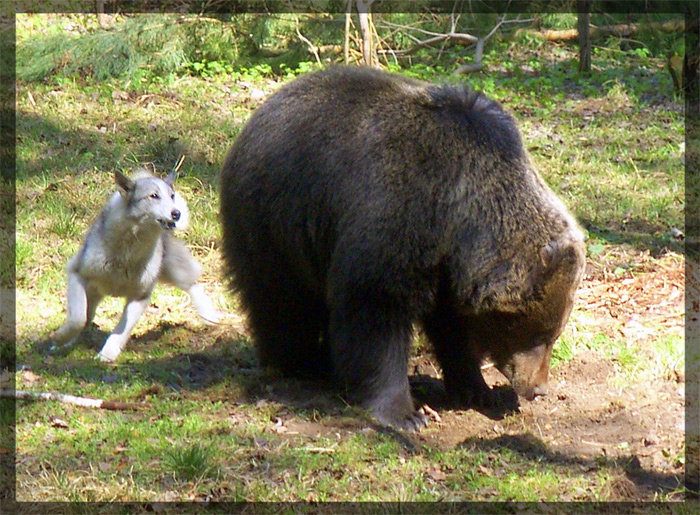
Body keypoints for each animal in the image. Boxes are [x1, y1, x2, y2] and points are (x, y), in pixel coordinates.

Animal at [219, 66, 586, 431]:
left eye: (554, 332)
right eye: (538, 333)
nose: (538, 388)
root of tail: (263, 110)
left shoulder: (448, 272)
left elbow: (454, 328)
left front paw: (477, 389)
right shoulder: (398, 217)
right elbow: (376, 313)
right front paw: (405, 414)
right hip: (277, 220)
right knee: (283, 301)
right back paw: (299, 361)